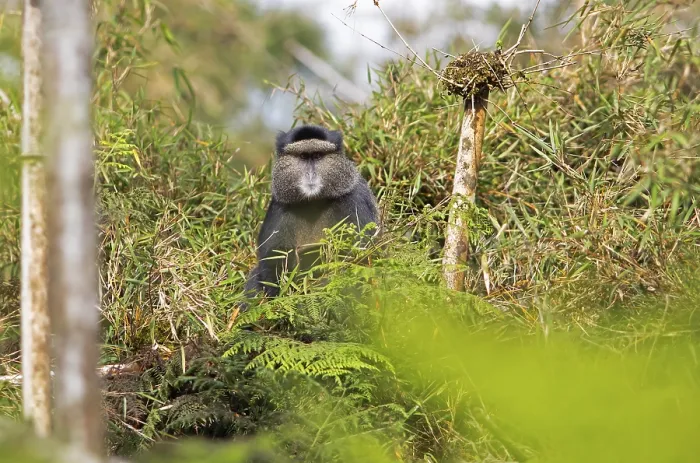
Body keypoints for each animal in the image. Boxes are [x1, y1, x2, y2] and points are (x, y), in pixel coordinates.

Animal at [243, 124, 380, 301]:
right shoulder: (279, 205)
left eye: (317, 155)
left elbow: (358, 256)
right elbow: (272, 257)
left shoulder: (355, 199)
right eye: (302, 156)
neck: (314, 201)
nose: (310, 174)